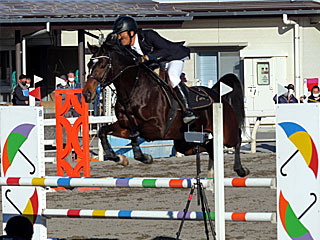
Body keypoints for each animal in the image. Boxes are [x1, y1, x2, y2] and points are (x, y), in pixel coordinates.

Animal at [81, 37, 249, 178]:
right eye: (89, 65)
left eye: (103, 65)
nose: (87, 94)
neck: (133, 89)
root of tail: (215, 92)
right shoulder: (124, 125)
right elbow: (103, 131)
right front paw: (119, 158)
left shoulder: (157, 129)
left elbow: (135, 133)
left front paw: (143, 157)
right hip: (183, 142)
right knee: (207, 146)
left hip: (226, 132)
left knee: (237, 139)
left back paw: (241, 170)